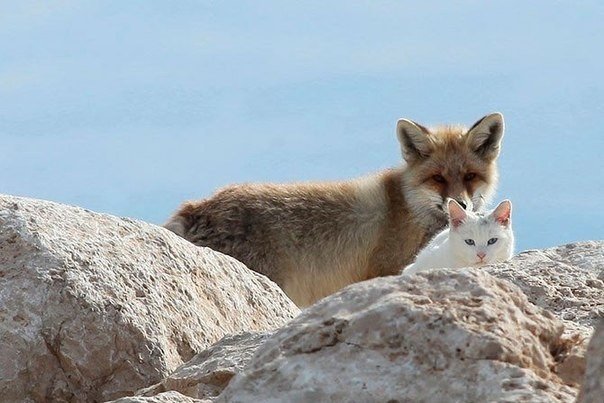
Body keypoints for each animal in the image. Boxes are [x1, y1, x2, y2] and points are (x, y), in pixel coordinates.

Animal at [164, 113, 505, 307]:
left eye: (470, 177)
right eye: (438, 178)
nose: (460, 203)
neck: (410, 207)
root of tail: (195, 206)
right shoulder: (385, 270)